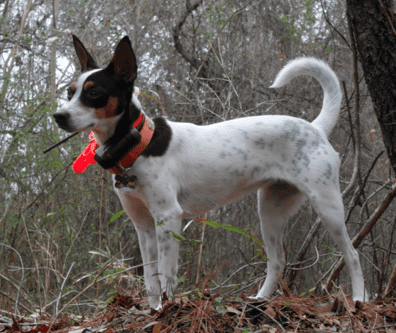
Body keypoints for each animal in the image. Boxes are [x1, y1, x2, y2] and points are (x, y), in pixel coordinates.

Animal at [53, 35, 368, 308]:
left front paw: (167, 310)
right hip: (270, 209)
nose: (58, 116)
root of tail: (316, 127)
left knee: (352, 255)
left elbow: (167, 276)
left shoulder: (168, 218)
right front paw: (153, 311)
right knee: (277, 261)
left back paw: (359, 300)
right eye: (70, 92)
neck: (137, 145)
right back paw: (258, 300)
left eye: (94, 92)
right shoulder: (143, 226)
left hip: (327, 205)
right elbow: (151, 281)